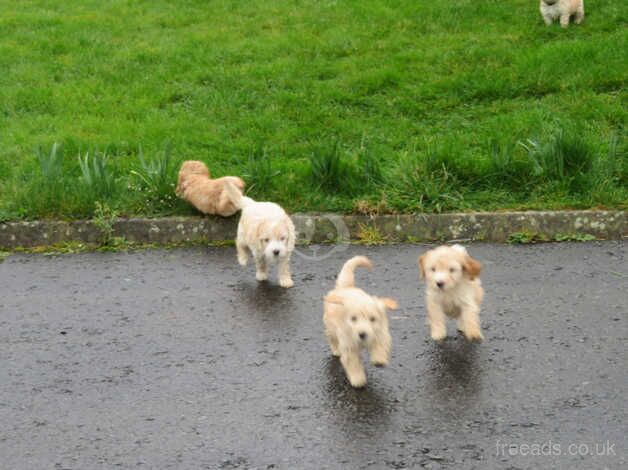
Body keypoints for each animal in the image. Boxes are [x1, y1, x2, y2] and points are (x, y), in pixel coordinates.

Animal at [324, 255, 398, 388]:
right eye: (353, 319)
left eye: (372, 319)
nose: (362, 334)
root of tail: (346, 287)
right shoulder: (348, 346)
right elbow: (353, 363)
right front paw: (358, 380)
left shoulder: (380, 332)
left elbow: (380, 344)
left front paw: (379, 359)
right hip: (330, 327)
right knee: (332, 339)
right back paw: (336, 350)